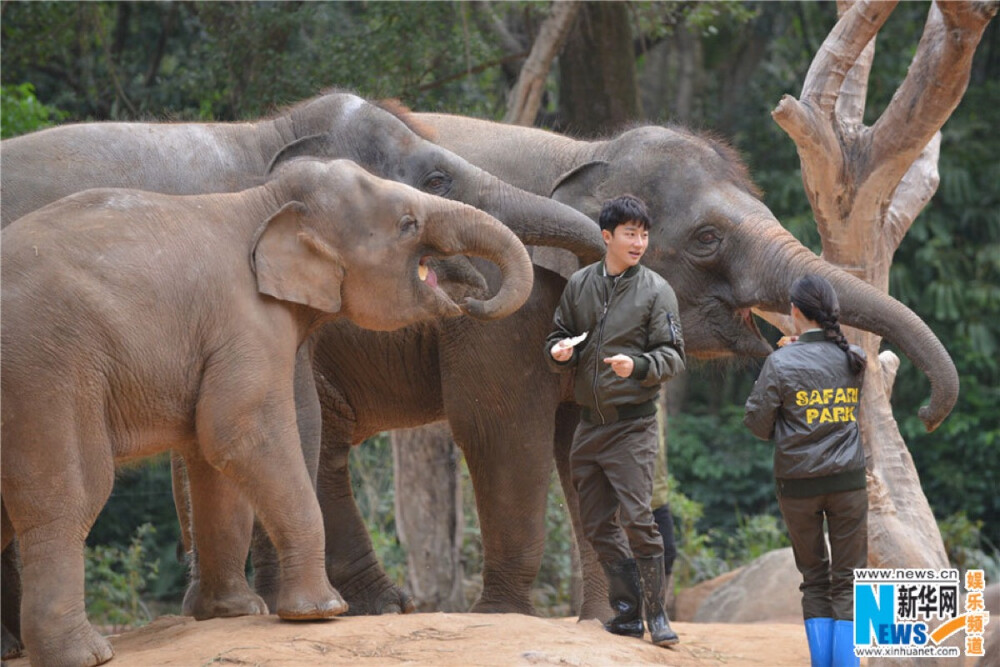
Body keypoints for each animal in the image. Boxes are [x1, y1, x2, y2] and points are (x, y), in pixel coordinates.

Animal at [284, 113, 960, 620]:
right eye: (707, 238)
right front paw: (503, 619)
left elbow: (582, 439)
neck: (582, 155)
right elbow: (498, 427)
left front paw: (605, 622)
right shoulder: (503, 301)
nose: (929, 412)